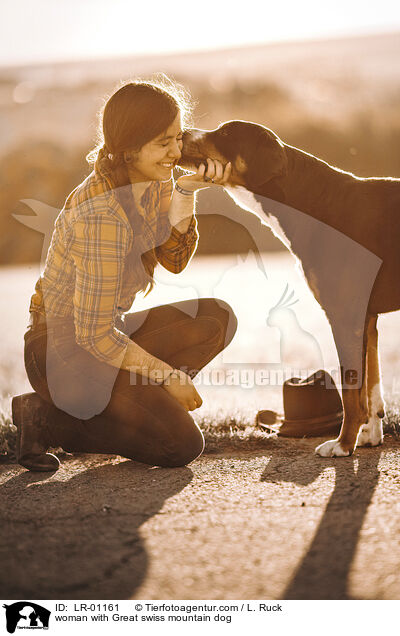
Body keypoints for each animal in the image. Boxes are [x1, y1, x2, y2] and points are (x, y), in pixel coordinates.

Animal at [179, 119, 400, 458]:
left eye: (227, 133)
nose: (182, 132)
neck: (313, 203)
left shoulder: (345, 316)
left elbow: (352, 391)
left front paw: (342, 445)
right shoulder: (367, 318)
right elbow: (372, 385)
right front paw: (369, 436)